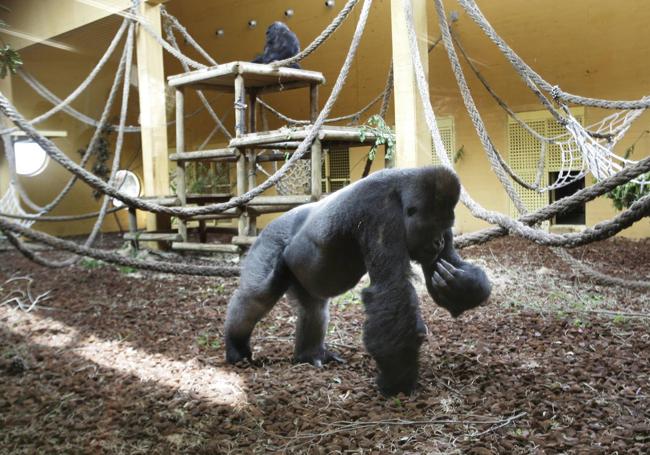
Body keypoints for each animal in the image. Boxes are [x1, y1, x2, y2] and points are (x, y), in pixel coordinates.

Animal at [224, 166, 492, 398]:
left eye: (445, 227)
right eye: (432, 227)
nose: (438, 242)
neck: (401, 190)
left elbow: (447, 264)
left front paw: (463, 287)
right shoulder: (381, 212)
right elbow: (391, 291)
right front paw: (398, 380)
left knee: (313, 308)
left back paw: (309, 355)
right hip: (269, 241)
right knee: (258, 296)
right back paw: (236, 346)